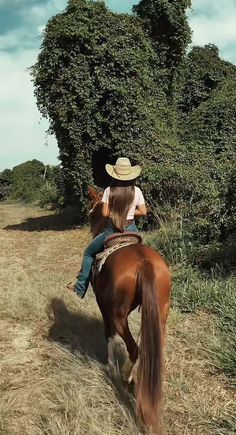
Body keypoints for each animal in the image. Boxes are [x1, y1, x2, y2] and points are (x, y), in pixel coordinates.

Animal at [87, 188, 171, 435]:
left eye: (92, 213)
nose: (92, 230)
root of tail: (144, 262)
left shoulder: (104, 307)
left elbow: (109, 336)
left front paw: (110, 368)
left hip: (118, 315)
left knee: (133, 348)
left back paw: (125, 376)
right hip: (161, 311)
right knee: (148, 345)